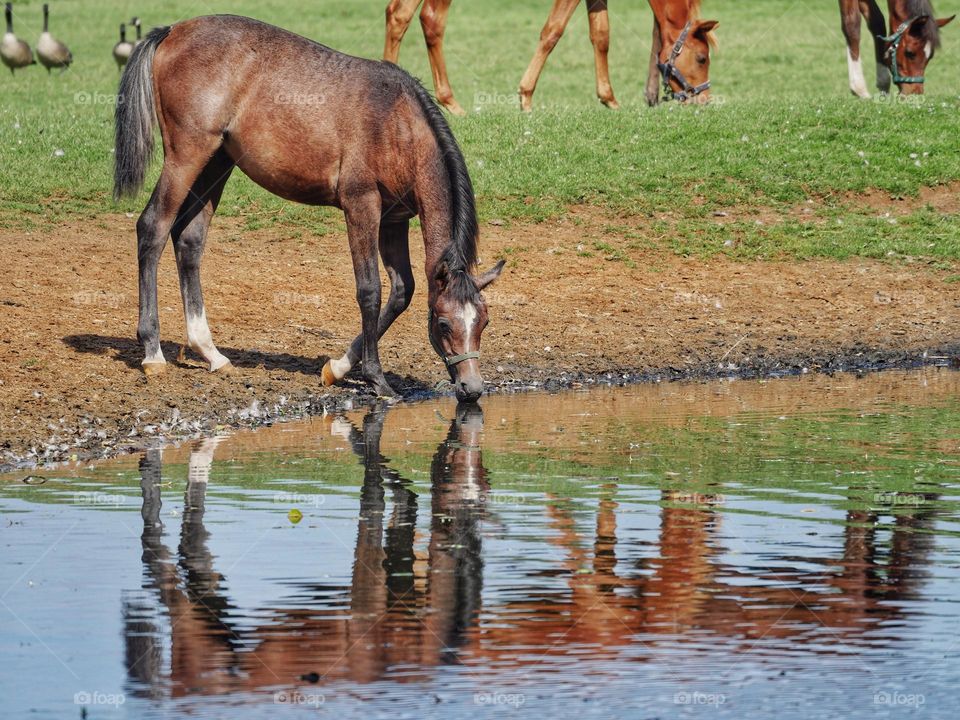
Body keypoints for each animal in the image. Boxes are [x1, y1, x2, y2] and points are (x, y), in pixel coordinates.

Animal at [112, 14, 502, 402]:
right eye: (444, 323)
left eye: (484, 322)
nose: (471, 388)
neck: (397, 124)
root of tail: (174, 30)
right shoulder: (361, 206)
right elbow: (370, 291)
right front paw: (375, 377)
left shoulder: (395, 220)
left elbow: (401, 291)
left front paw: (338, 368)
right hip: (186, 156)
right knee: (153, 227)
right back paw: (152, 352)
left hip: (216, 162)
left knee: (189, 242)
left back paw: (210, 352)